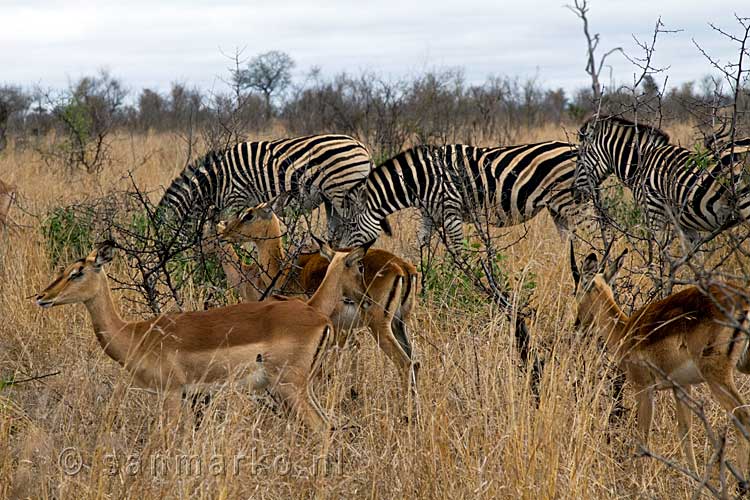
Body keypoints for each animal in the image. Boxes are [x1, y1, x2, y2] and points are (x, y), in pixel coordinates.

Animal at [157, 135, 374, 240]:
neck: (215, 182)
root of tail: (362, 146)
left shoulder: (237, 200)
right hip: (331, 198)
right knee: (336, 230)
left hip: (343, 193)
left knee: (357, 229)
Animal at [344, 141, 584, 250]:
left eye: (352, 225)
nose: (343, 255)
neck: (421, 180)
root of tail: (574, 147)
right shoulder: (429, 216)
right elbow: (419, 246)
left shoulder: (451, 213)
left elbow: (459, 250)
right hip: (556, 208)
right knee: (569, 241)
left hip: (570, 204)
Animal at [572, 115, 750, 244]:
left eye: (579, 159)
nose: (575, 194)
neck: (641, 163)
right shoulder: (684, 224)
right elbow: (693, 256)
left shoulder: (653, 211)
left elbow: (660, 253)